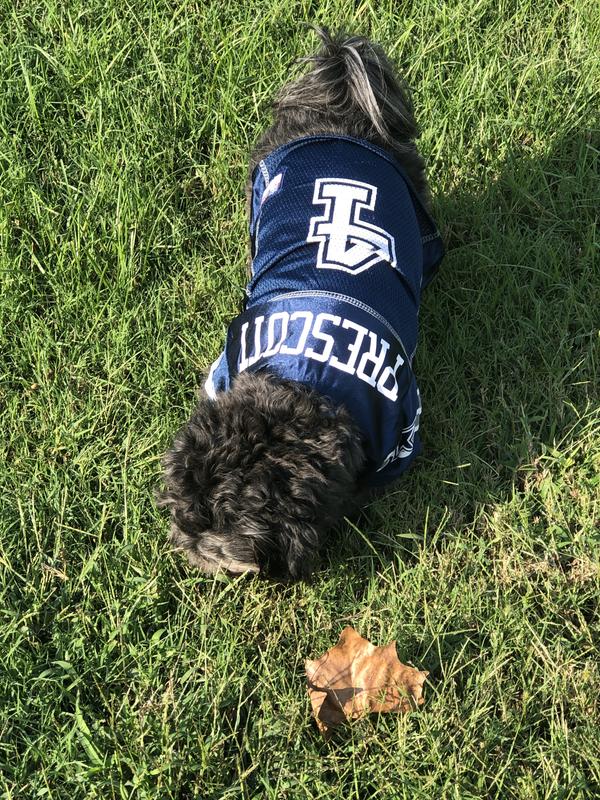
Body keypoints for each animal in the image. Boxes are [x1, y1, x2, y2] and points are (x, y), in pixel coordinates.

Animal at [157, 29, 442, 580]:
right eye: (182, 513)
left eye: (215, 532)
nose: (186, 542)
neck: (301, 380)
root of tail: (337, 105)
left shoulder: (402, 428)